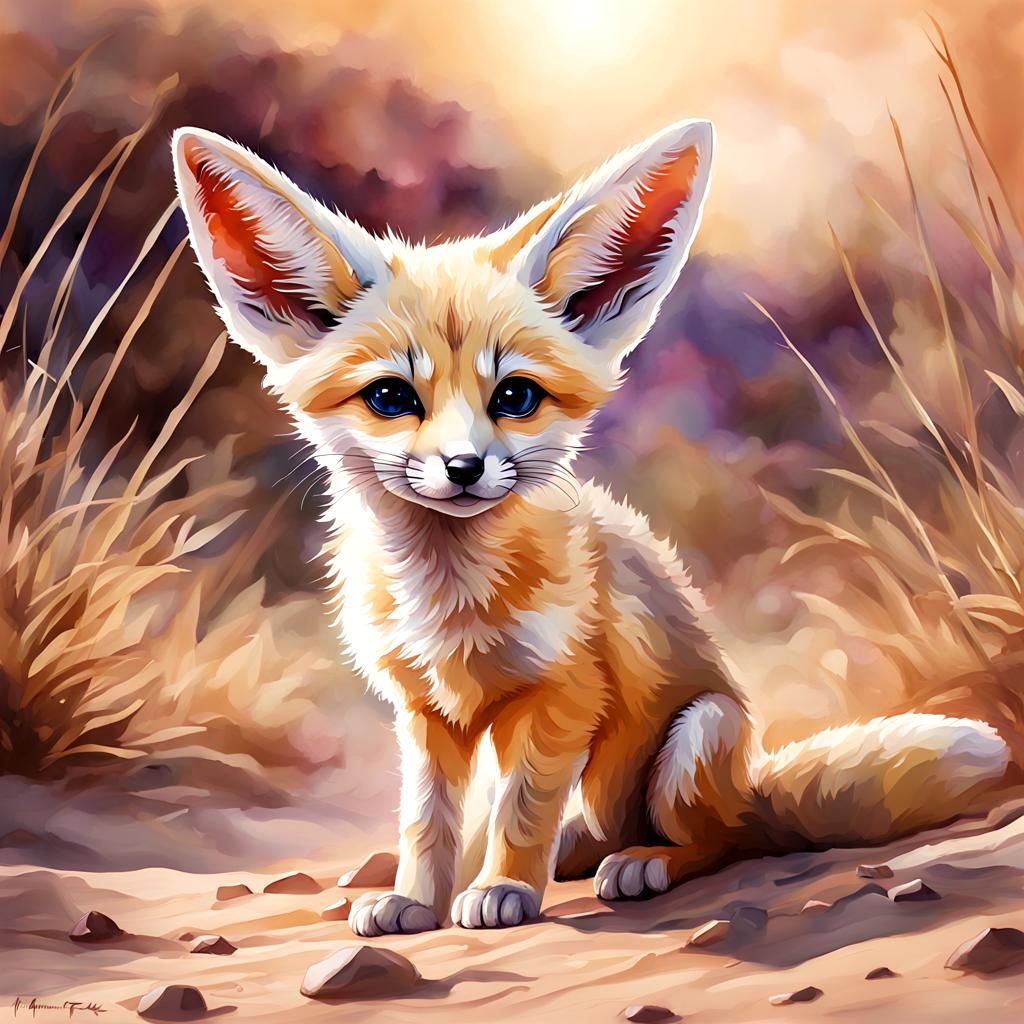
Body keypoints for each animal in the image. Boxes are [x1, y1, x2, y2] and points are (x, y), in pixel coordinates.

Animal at [172, 118, 1018, 935]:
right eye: (391, 397)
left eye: (514, 396)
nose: (464, 468)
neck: (450, 601)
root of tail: (753, 786)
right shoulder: (424, 713)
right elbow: (427, 823)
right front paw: (415, 901)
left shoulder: (563, 694)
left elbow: (519, 812)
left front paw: (503, 890)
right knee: (598, 827)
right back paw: (577, 852)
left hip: (694, 741)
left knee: (719, 842)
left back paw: (643, 864)